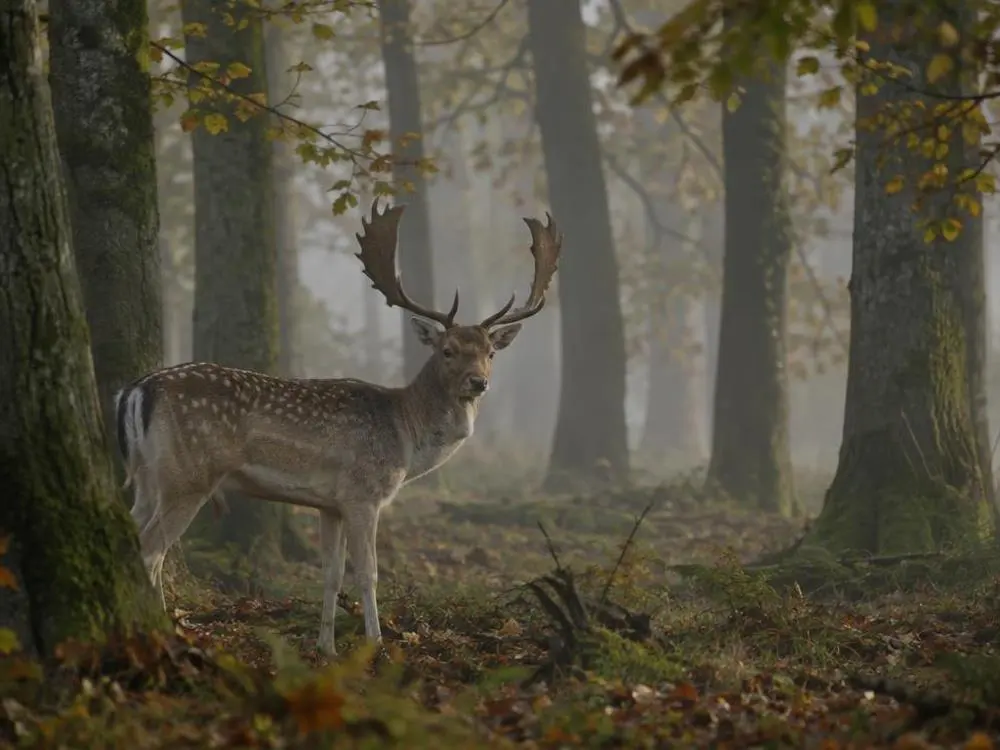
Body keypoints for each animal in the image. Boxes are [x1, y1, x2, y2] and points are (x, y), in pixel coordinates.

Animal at [114, 199, 562, 656]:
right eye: (448, 350)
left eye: (491, 352)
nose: (478, 382)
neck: (405, 433)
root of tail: (137, 389)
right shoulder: (363, 494)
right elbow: (368, 572)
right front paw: (376, 644)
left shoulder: (329, 503)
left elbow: (330, 572)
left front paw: (326, 647)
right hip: (188, 475)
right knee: (152, 551)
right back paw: (163, 633)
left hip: (149, 477)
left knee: (132, 534)